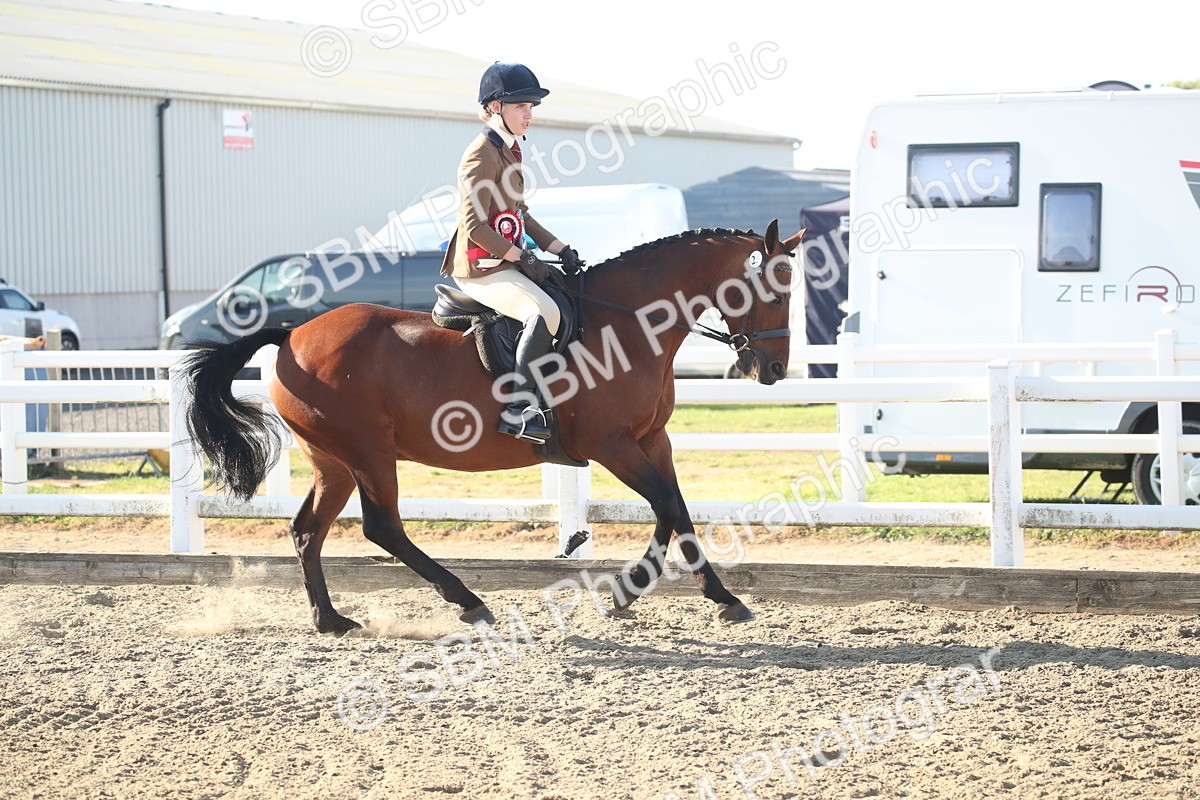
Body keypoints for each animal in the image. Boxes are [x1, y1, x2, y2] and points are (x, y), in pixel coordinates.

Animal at [184, 220, 805, 634]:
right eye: (776, 292)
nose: (773, 370)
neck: (627, 323)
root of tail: (290, 334)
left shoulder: (654, 440)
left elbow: (675, 511)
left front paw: (681, 595)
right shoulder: (611, 445)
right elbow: (668, 508)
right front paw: (665, 593)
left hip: (331, 461)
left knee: (307, 530)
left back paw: (331, 619)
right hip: (368, 454)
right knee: (382, 528)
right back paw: (467, 601)